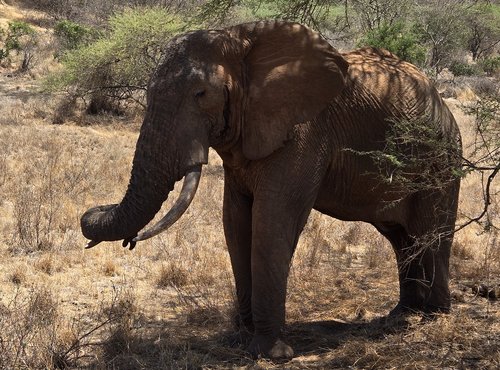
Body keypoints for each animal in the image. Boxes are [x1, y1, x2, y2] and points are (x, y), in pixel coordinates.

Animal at [81, 20, 460, 358]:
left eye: (201, 94)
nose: (95, 213)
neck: (241, 40)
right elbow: (235, 221)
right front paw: (239, 341)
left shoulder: (303, 131)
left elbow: (272, 218)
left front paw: (269, 352)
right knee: (400, 237)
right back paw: (401, 315)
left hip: (442, 156)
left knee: (431, 231)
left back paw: (434, 317)